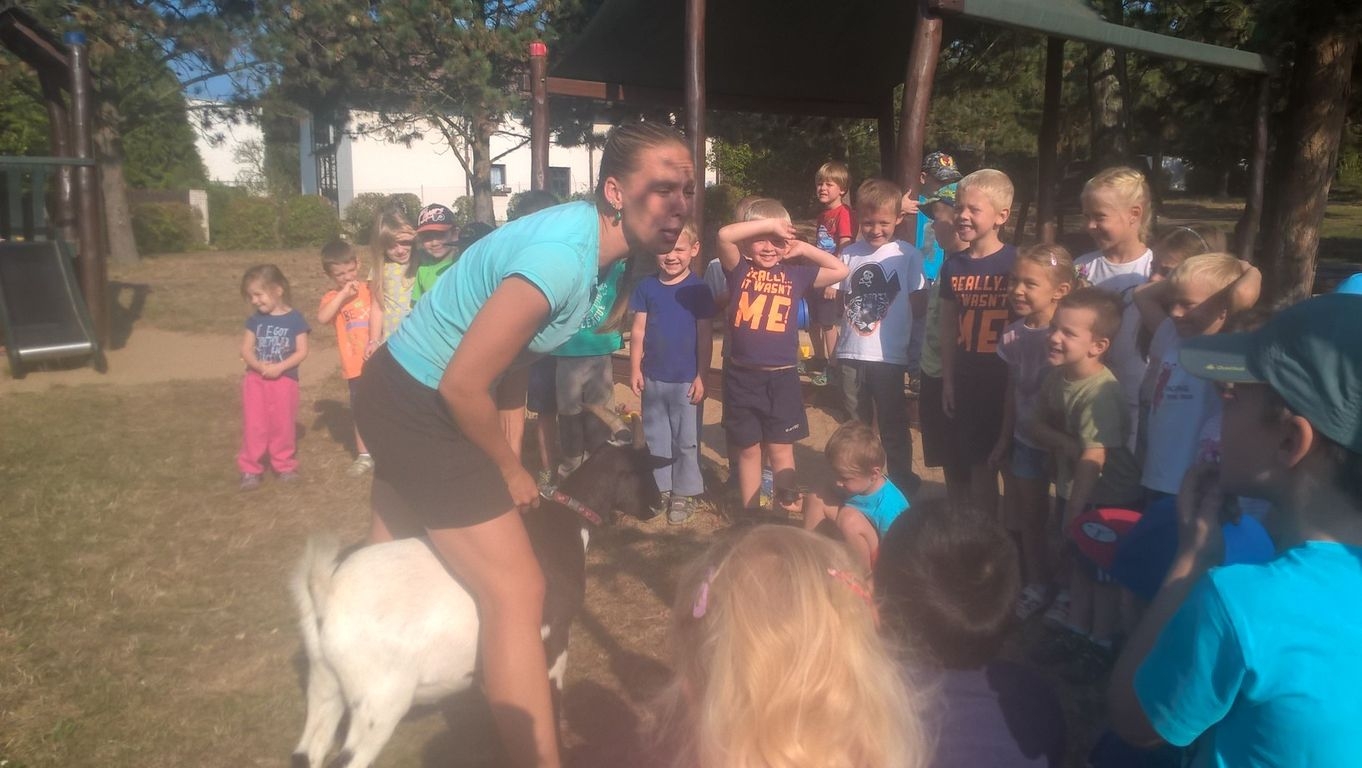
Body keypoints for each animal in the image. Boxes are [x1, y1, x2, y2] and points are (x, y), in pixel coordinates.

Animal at [290, 413, 664, 768]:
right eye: (646, 468)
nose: (657, 506)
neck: (564, 522)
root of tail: (326, 593)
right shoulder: (555, 634)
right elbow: (551, 694)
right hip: (379, 700)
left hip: (325, 683)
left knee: (307, 752)